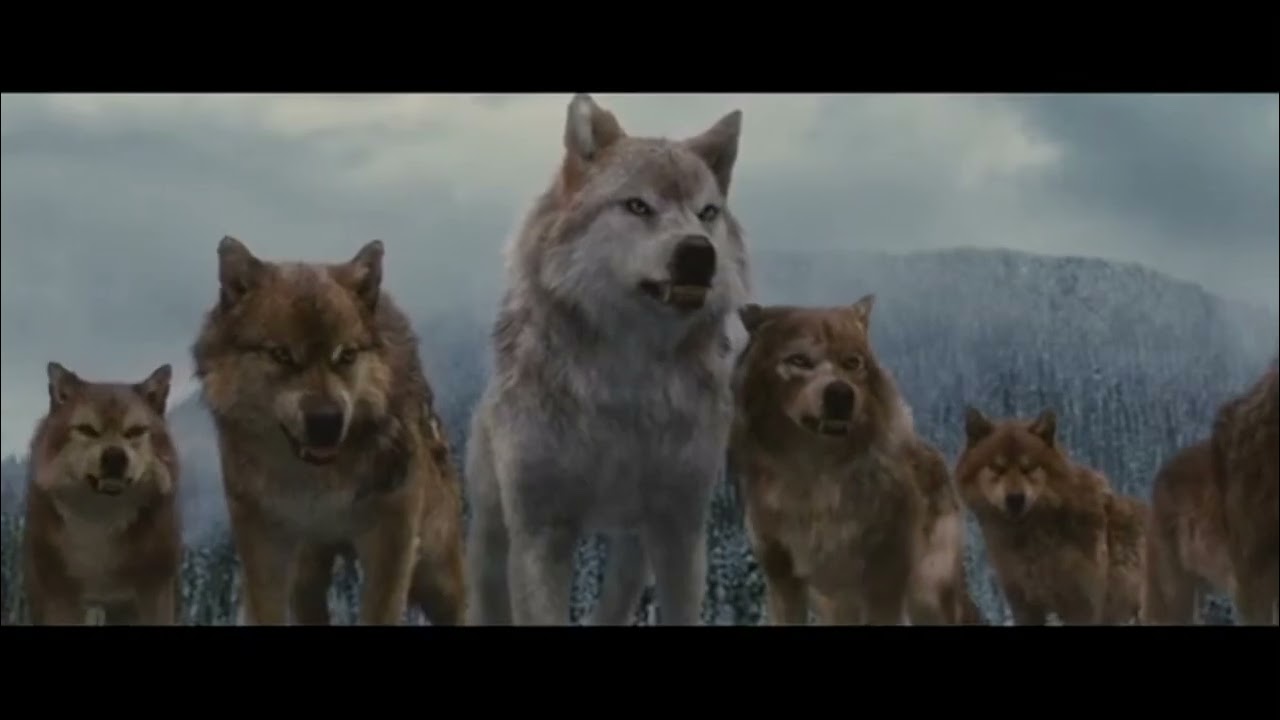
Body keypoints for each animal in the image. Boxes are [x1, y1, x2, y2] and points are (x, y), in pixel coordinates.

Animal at [23, 362, 182, 625]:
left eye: (135, 431)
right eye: (87, 430)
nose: (115, 456)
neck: (101, 518)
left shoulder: (153, 593)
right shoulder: (59, 598)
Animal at [192, 236, 465, 625]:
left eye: (345, 355)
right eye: (282, 355)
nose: (326, 422)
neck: (319, 483)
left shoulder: (392, 538)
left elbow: (380, 613)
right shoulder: (264, 539)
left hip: (437, 572)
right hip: (307, 573)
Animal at [464, 93, 752, 625]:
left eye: (707, 212)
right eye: (638, 206)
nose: (699, 253)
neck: (626, 382)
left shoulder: (679, 527)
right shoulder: (541, 532)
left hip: (633, 550)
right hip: (493, 538)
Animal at [730, 297, 979, 625]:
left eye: (852, 362)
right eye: (799, 360)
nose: (840, 394)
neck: (817, 477)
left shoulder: (885, 578)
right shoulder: (782, 578)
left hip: (928, 595)